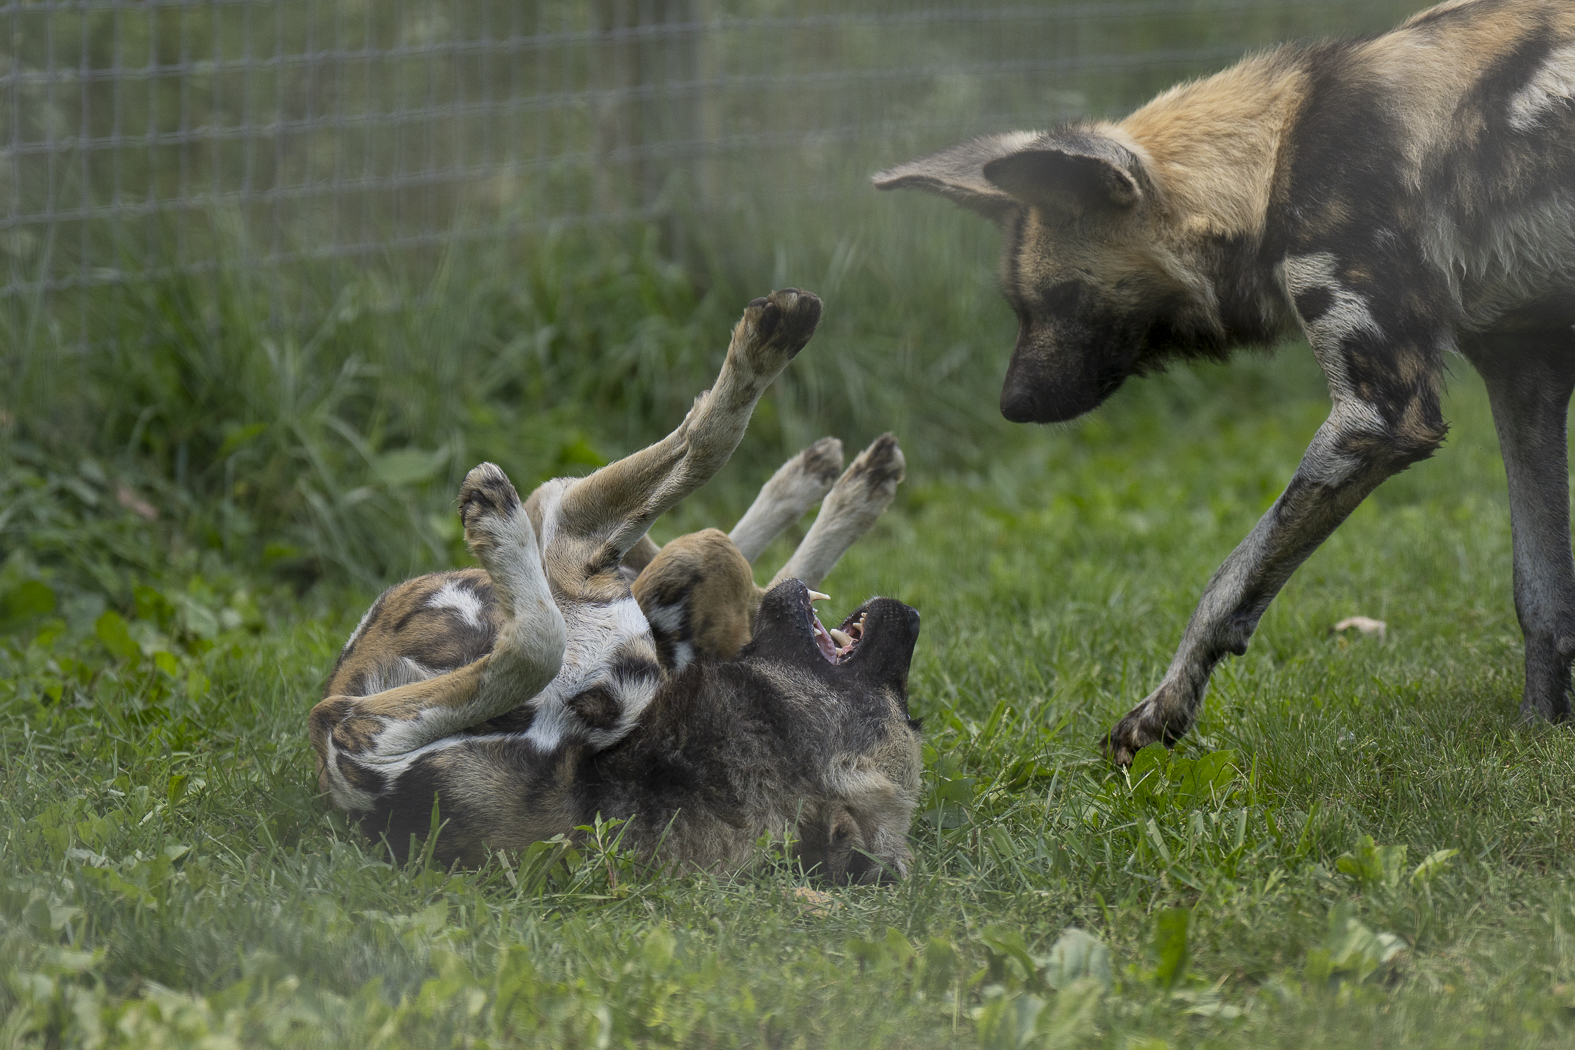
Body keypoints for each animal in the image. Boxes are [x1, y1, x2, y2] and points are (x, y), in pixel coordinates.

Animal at [307, 289, 919, 881]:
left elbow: (537, 643)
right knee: (720, 527)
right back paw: (827, 472)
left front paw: (498, 530)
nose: (910, 618)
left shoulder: (359, 734)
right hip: (662, 561)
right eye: (911, 710)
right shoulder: (583, 558)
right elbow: (705, 444)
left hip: (659, 561)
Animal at [882, 0, 1575, 758]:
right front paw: (1538, 731)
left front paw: (1159, 712)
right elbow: (1540, 594)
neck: (1275, 159)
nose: (1012, 404)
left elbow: (1225, 582)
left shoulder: (1378, 415)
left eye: (1065, 297)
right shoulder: (1524, 373)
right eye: (1018, 305)